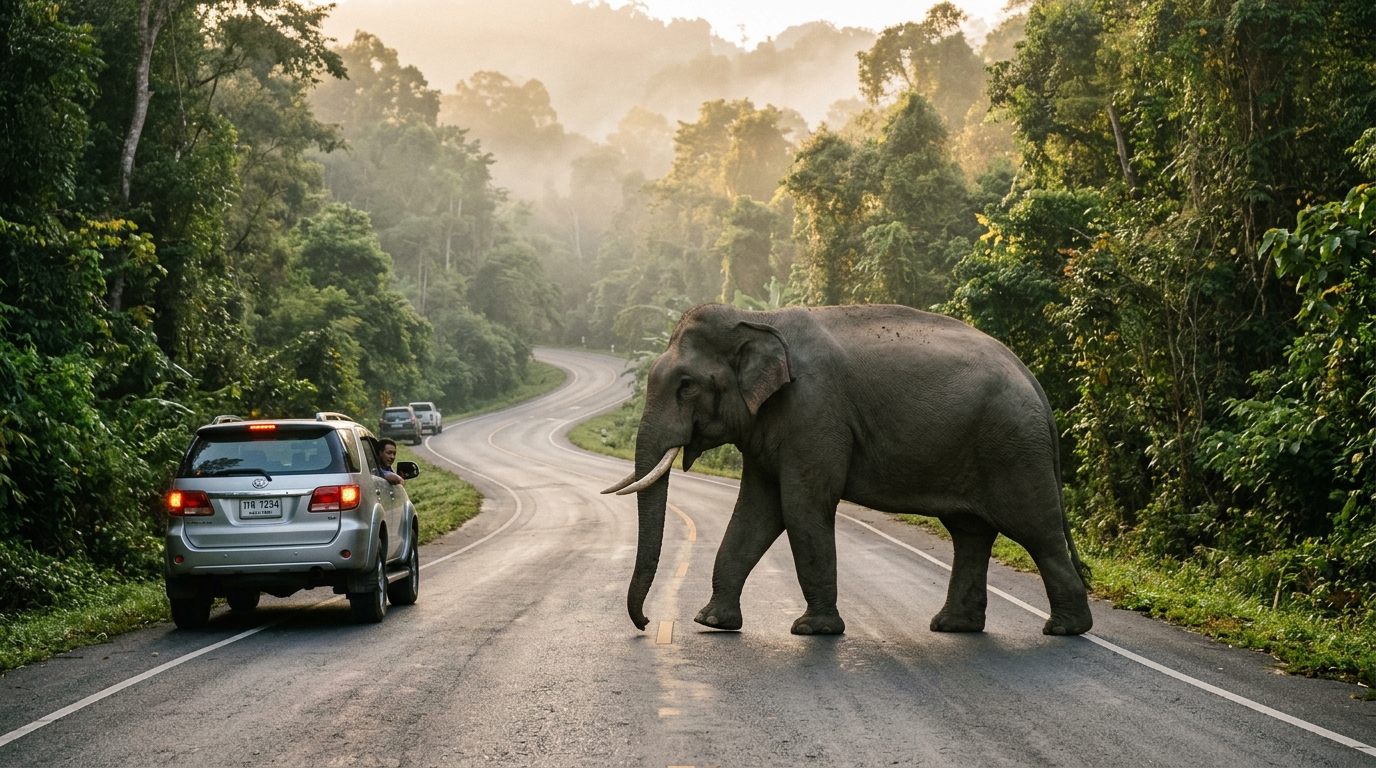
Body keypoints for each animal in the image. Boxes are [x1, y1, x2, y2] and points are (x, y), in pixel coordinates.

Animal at [603, 302, 1093, 637]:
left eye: (686, 386)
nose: (646, 623)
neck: (759, 317)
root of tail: (1034, 382)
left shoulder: (815, 411)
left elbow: (802, 506)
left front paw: (813, 630)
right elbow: (757, 511)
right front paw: (712, 622)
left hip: (1014, 450)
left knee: (1036, 529)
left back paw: (1065, 629)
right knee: (970, 532)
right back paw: (953, 626)